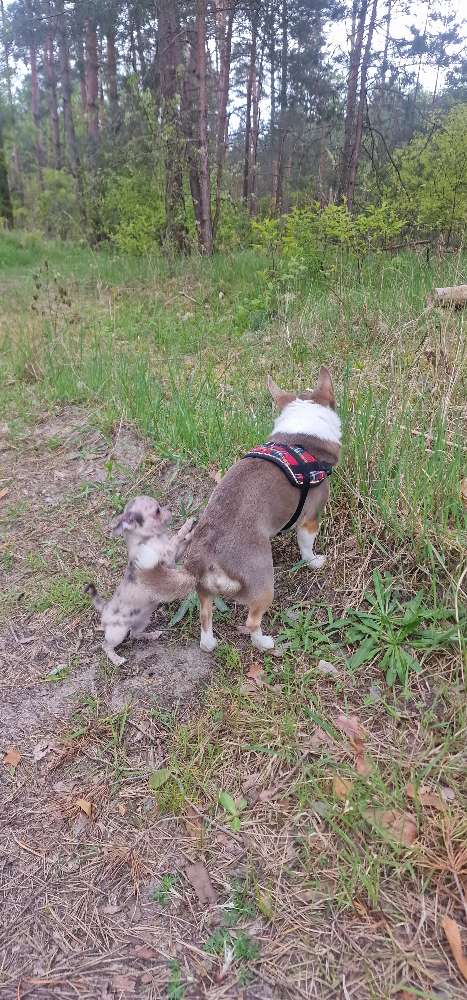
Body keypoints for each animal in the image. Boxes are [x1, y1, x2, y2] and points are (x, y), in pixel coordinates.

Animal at [179, 372, 340, 652]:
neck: (300, 437)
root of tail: (206, 556)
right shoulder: (309, 519)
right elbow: (307, 547)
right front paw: (313, 562)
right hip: (264, 585)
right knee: (252, 622)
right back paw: (265, 643)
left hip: (205, 593)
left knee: (205, 617)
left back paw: (210, 643)